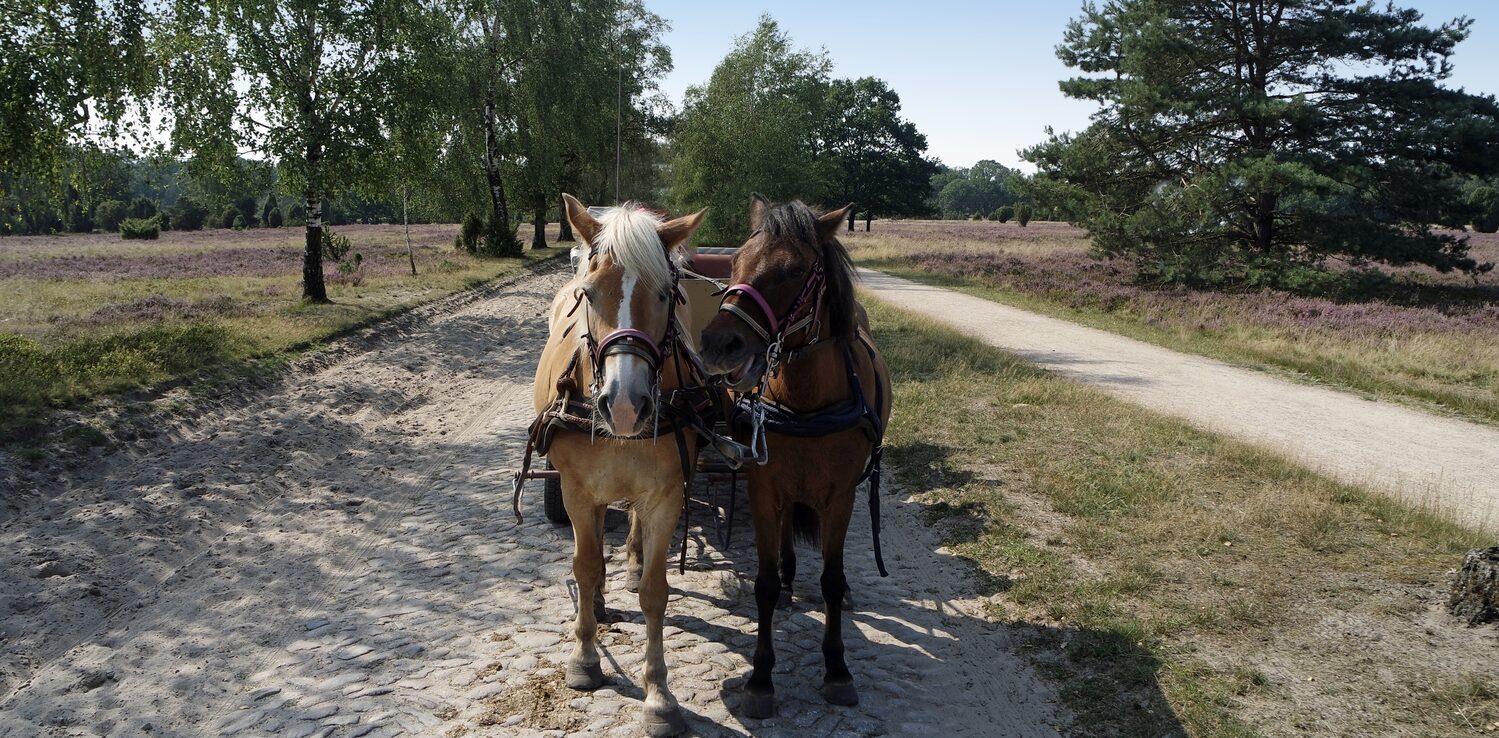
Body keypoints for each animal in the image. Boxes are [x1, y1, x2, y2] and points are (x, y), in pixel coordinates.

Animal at [527, 194, 706, 737]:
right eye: (588, 294)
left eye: (668, 294)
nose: (625, 406)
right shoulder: (576, 490)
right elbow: (585, 567)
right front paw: (585, 658)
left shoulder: (666, 494)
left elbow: (655, 593)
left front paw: (659, 695)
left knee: (631, 529)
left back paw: (628, 564)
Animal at [698, 195, 892, 718]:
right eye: (736, 262)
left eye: (793, 270)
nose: (716, 343)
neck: (806, 401)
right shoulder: (764, 487)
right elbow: (763, 583)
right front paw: (761, 678)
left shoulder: (841, 495)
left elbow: (831, 578)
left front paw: (837, 669)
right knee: (786, 536)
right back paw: (788, 579)